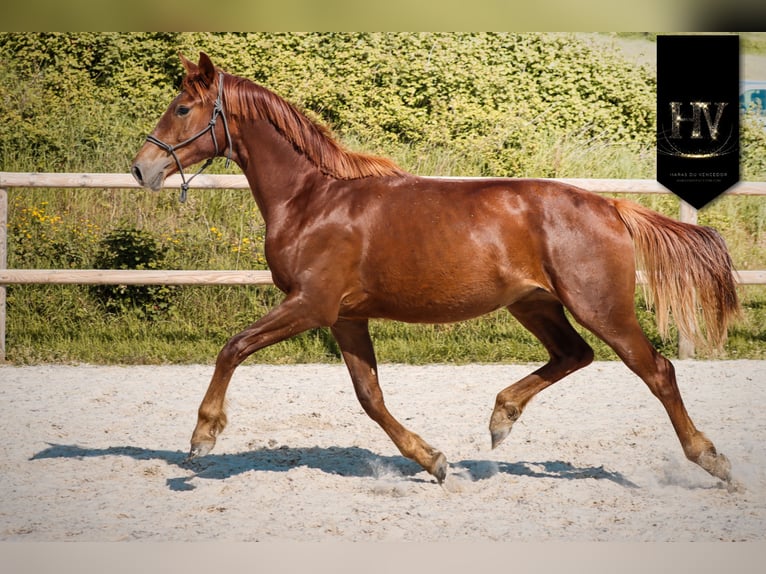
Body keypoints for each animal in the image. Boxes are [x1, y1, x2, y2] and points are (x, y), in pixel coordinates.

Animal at [131, 52, 740, 487]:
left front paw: (203, 436)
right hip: (534, 303)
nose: (142, 168)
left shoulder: (311, 305)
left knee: (656, 370)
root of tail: (610, 206)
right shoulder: (345, 318)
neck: (312, 201)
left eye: (182, 109)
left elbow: (232, 348)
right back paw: (500, 419)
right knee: (574, 355)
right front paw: (434, 460)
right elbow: (370, 398)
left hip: (601, 306)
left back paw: (712, 460)